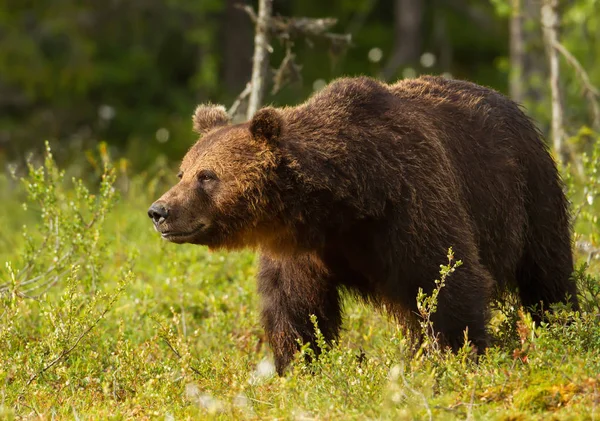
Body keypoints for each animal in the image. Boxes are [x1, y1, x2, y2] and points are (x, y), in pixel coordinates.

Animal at [148, 75, 580, 374]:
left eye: (207, 176)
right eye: (182, 171)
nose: (159, 211)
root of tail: (509, 101)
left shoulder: (410, 207)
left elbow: (447, 282)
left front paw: (454, 358)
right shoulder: (303, 250)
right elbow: (294, 308)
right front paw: (296, 366)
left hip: (527, 191)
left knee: (547, 270)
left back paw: (563, 326)